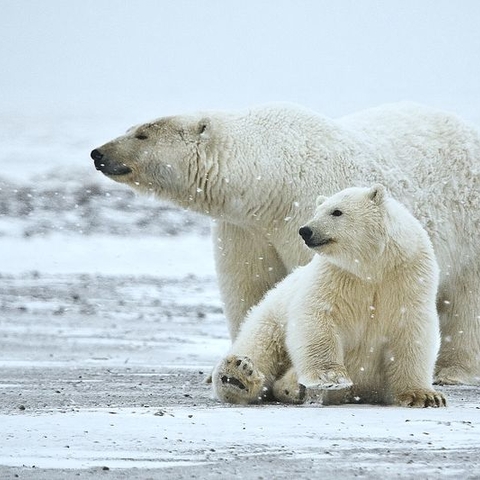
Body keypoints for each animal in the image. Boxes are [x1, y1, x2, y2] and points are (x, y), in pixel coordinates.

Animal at [212, 186, 444, 406]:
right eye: (316, 211)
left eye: (337, 211)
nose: (305, 230)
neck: (373, 267)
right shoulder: (335, 275)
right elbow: (317, 315)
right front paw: (330, 377)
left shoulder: (408, 278)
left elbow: (411, 331)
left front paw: (424, 396)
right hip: (271, 317)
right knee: (260, 345)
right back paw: (238, 376)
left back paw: (290, 386)